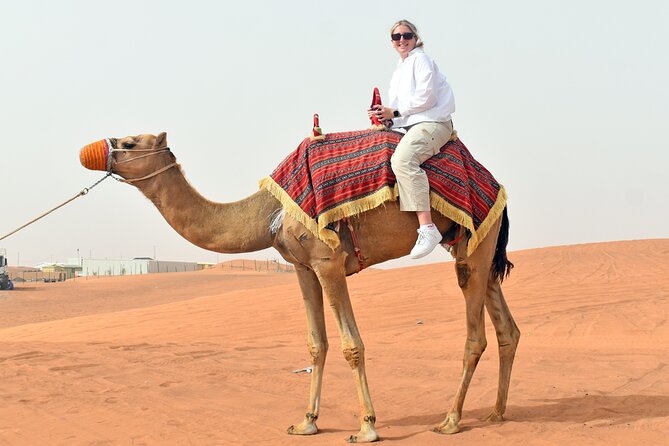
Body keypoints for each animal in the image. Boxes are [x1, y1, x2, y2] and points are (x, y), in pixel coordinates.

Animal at [81, 132, 520, 442]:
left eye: (129, 142)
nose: (91, 152)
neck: (270, 210)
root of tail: (495, 184)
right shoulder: (302, 268)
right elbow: (316, 343)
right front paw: (307, 422)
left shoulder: (329, 262)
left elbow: (351, 344)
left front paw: (366, 427)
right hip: (474, 244)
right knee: (506, 329)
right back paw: (497, 412)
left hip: (474, 246)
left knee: (475, 334)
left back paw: (451, 420)